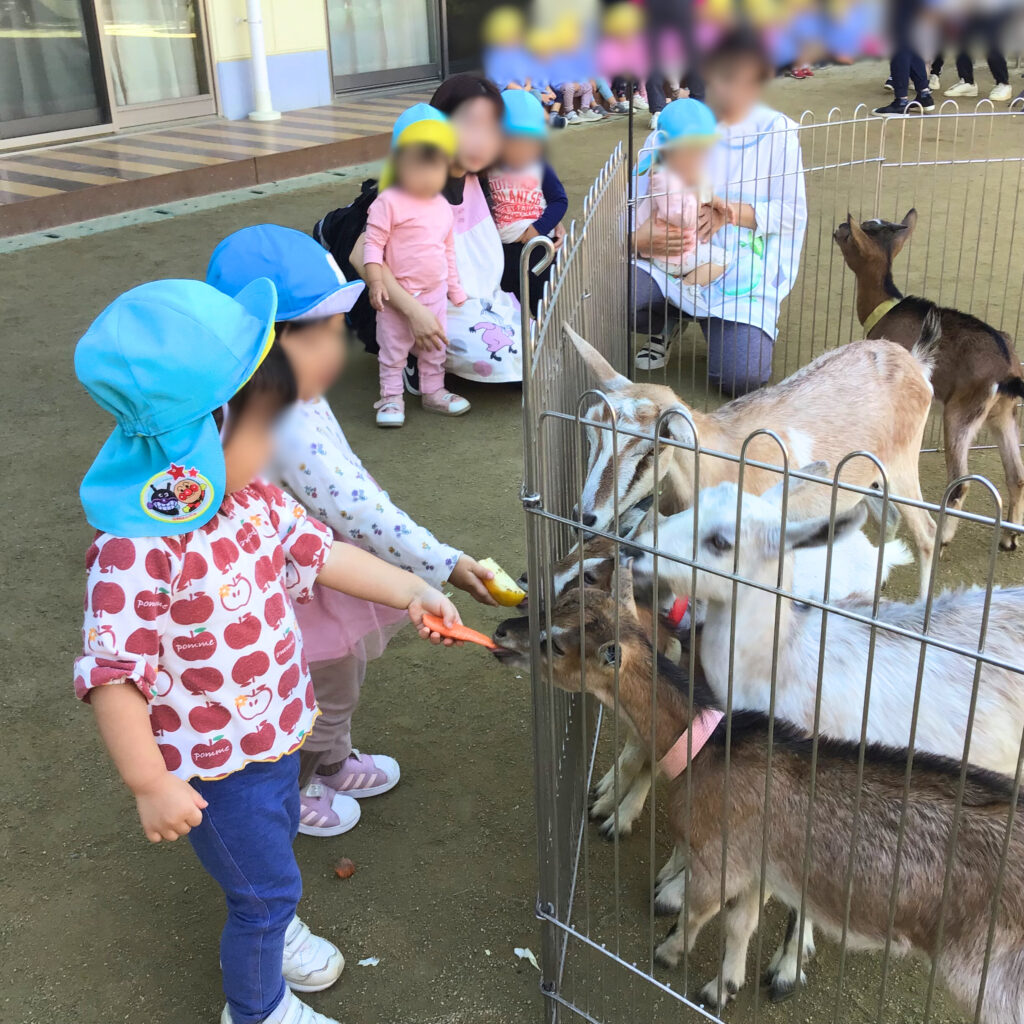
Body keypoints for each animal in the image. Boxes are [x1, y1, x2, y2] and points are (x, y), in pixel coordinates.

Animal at [491, 573, 1024, 1019]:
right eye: (561, 601)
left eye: (555, 644)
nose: (500, 632)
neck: (708, 746)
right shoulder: (757, 864)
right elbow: (740, 922)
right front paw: (722, 986)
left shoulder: (723, 857)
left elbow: (701, 910)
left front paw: (669, 950)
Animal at [565, 319, 937, 593]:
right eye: (591, 433)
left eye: (654, 448)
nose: (585, 517)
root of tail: (913, 361)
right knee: (889, 518)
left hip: (903, 470)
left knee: (928, 533)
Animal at [831, 207, 1024, 552]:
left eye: (852, 232)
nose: (837, 228)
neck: (886, 307)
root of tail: (1008, 370)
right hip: (1002, 415)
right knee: (1016, 474)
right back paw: (1009, 538)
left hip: (960, 414)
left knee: (960, 483)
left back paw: (943, 538)